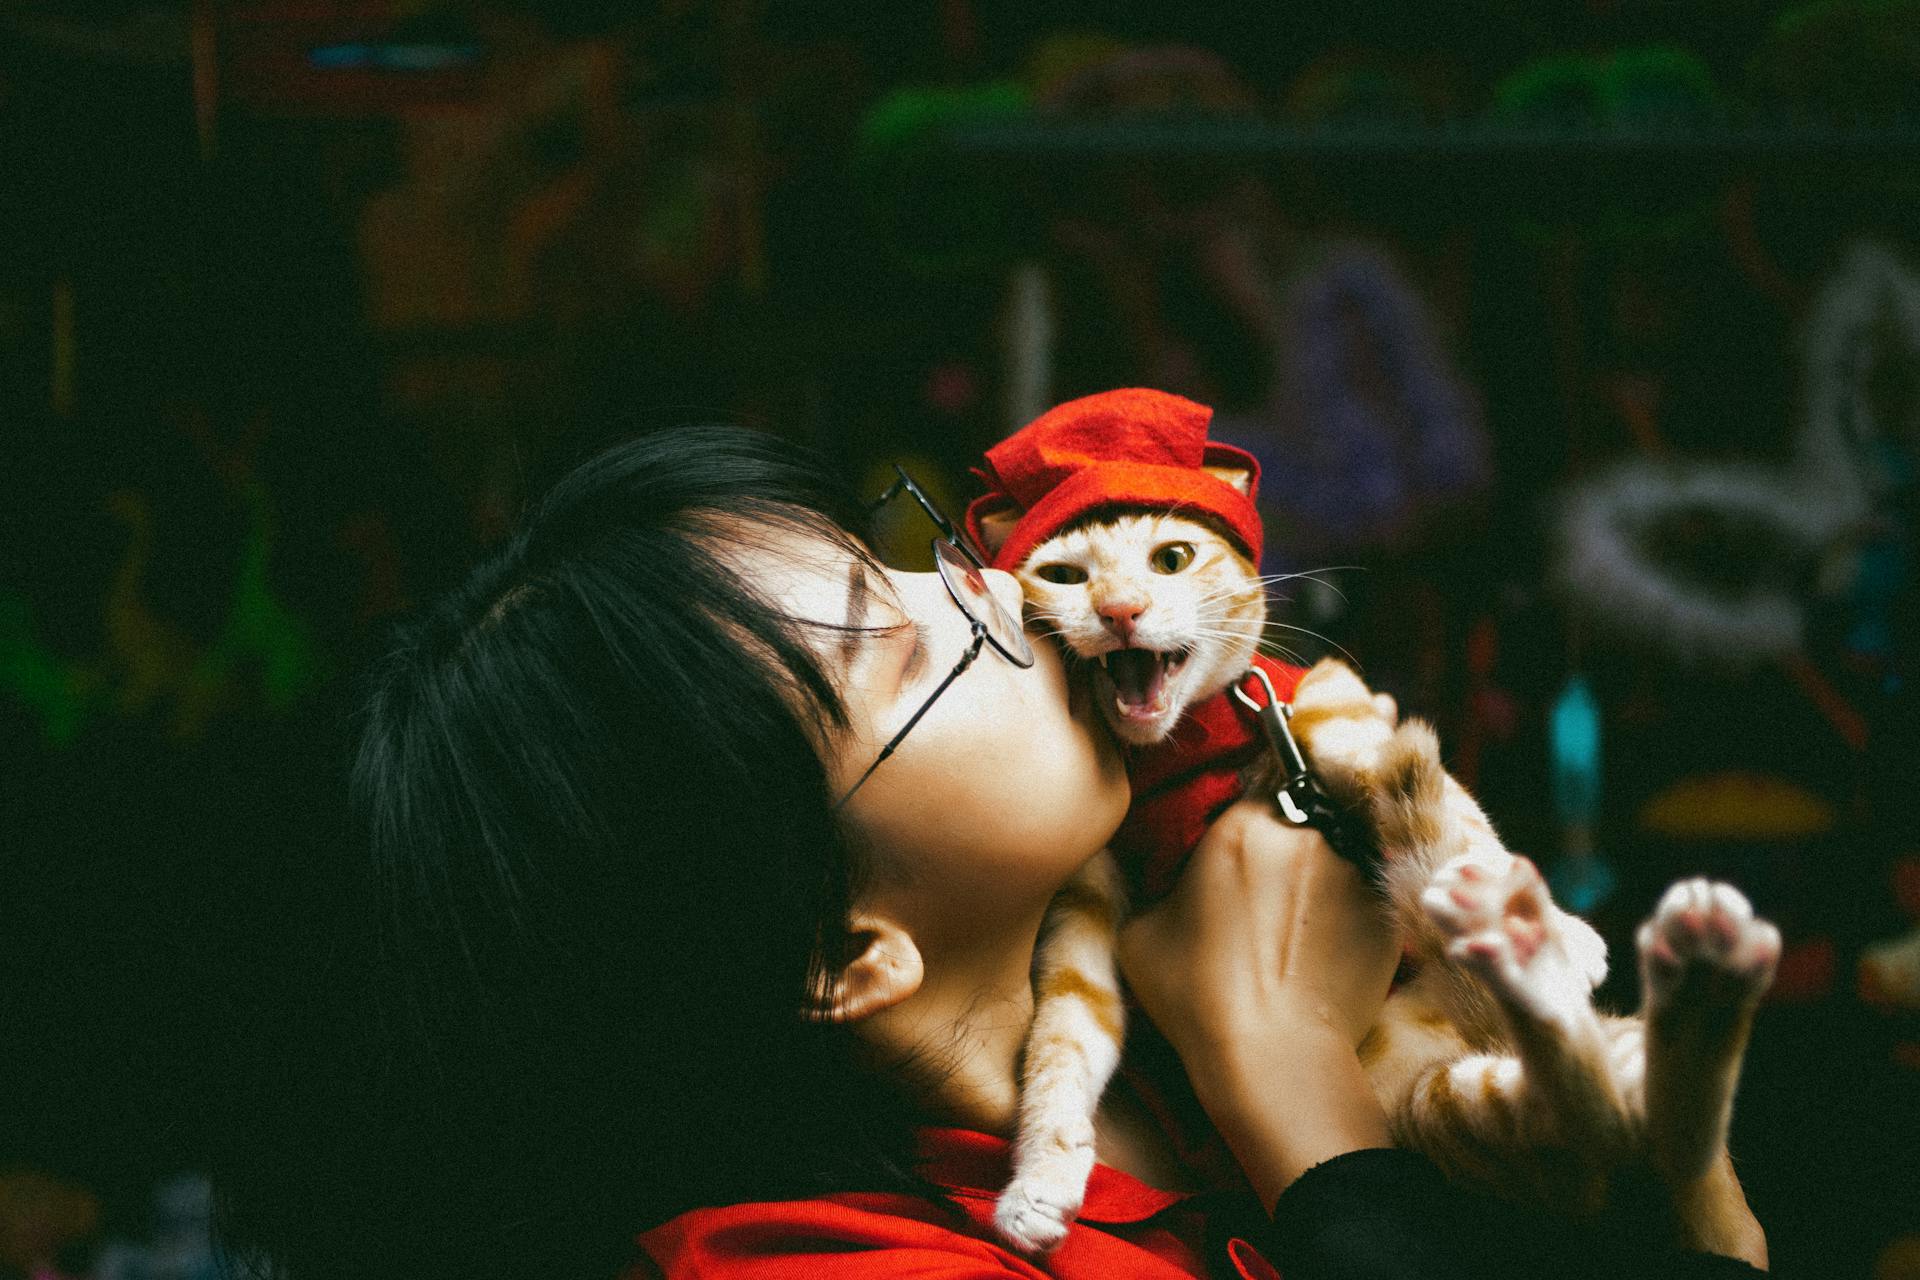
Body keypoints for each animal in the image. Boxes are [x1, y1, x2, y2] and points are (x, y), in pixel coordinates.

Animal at [975, 502, 1781, 1258]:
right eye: (1065, 575)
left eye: (1171, 558)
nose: (1120, 611)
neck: (1178, 760)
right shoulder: (1087, 894)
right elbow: (1065, 1030)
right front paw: (1040, 1177)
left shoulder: (1337, 713)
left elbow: (1463, 819)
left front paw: (1551, 923)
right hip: (1445, 1110)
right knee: (1598, 1123)